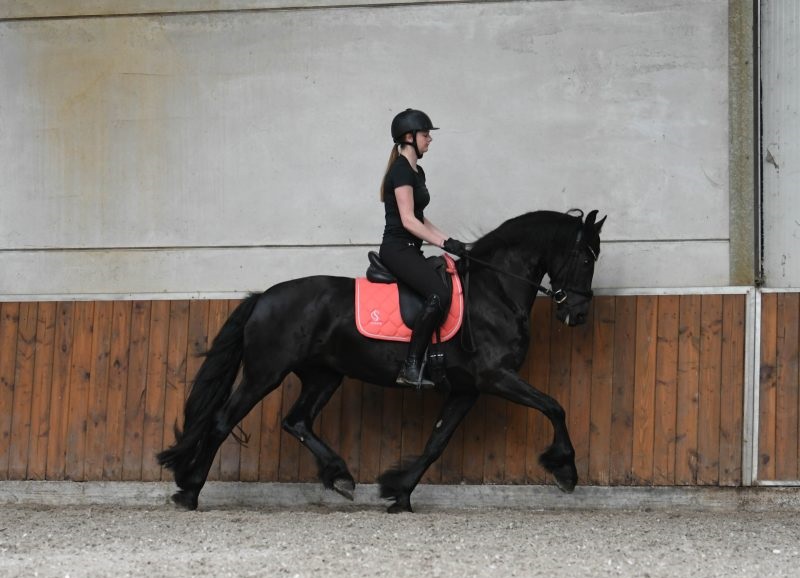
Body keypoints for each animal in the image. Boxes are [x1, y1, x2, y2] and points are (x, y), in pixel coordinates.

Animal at [157, 209, 606, 513]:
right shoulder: (496, 376)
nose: (579, 314)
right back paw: (190, 491)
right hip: (265, 373)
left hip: (324, 376)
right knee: (222, 421)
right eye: (587, 259)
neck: (494, 290)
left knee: (297, 421)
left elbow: (436, 442)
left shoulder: (467, 389)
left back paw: (340, 476)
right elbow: (555, 407)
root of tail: (263, 297)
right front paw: (566, 471)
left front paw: (399, 492)